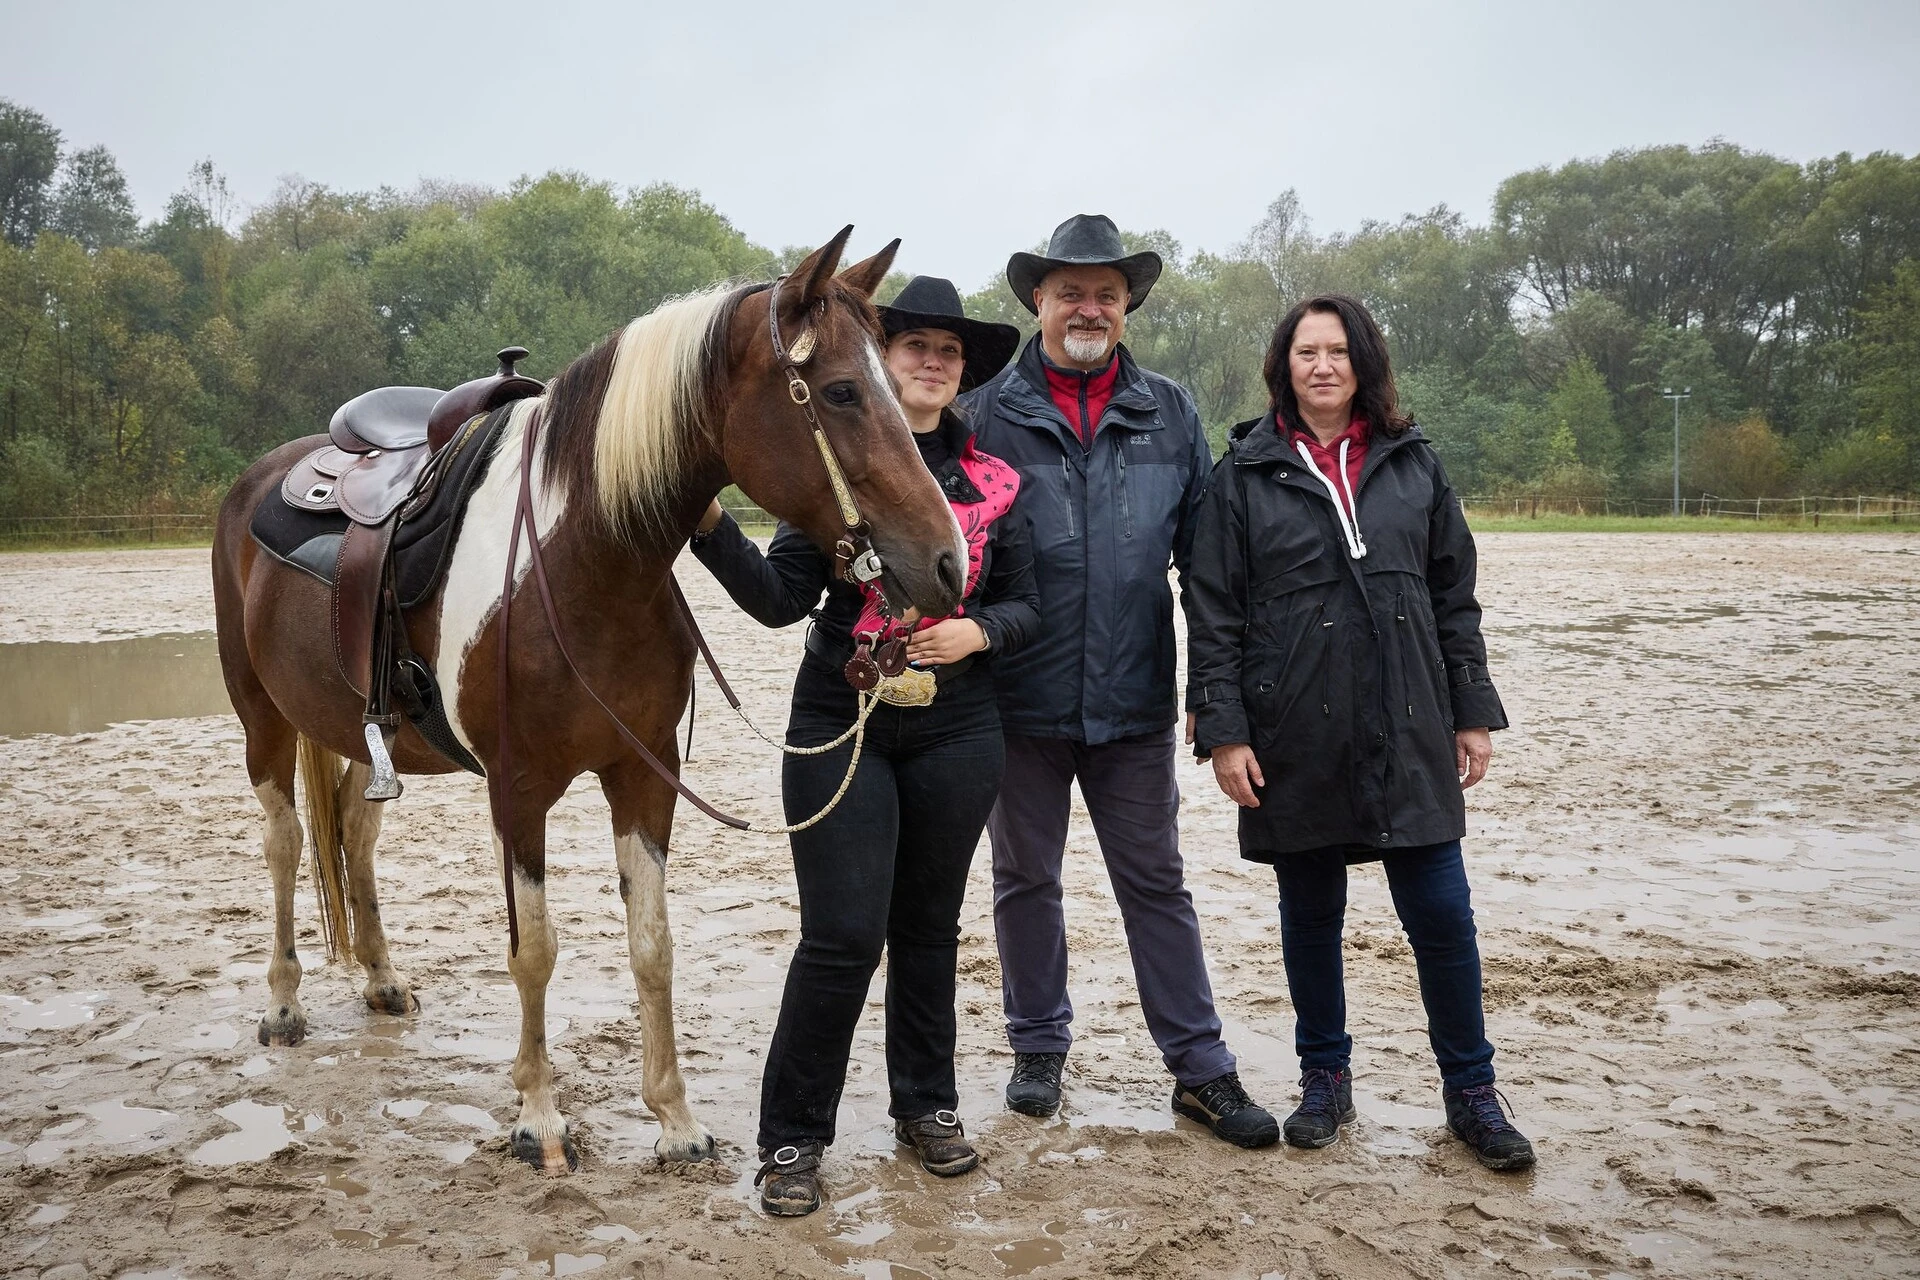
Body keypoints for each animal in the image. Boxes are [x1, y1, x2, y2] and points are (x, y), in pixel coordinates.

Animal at [210, 227, 967, 1174]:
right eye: (839, 391)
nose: (947, 562)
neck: (585, 562)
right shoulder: (518, 790)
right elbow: (533, 951)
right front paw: (538, 1118)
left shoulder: (644, 775)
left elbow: (653, 946)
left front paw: (675, 1121)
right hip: (262, 717)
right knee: (282, 842)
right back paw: (282, 1006)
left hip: (361, 732)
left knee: (354, 832)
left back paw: (383, 980)